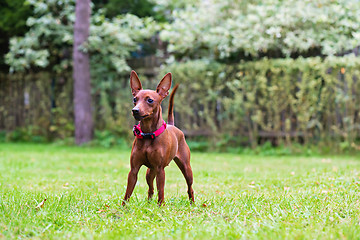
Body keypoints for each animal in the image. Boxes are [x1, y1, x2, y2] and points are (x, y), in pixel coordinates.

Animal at [122, 70, 194, 205]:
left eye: (150, 100)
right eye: (135, 99)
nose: (135, 110)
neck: (147, 134)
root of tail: (172, 125)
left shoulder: (160, 170)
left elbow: (161, 191)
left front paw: (161, 206)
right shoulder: (133, 170)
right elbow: (128, 192)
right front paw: (123, 207)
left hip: (186, 168)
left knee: (190, 188)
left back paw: (193, 203)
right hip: (150, 172)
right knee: (150, 188)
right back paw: (149, 203)